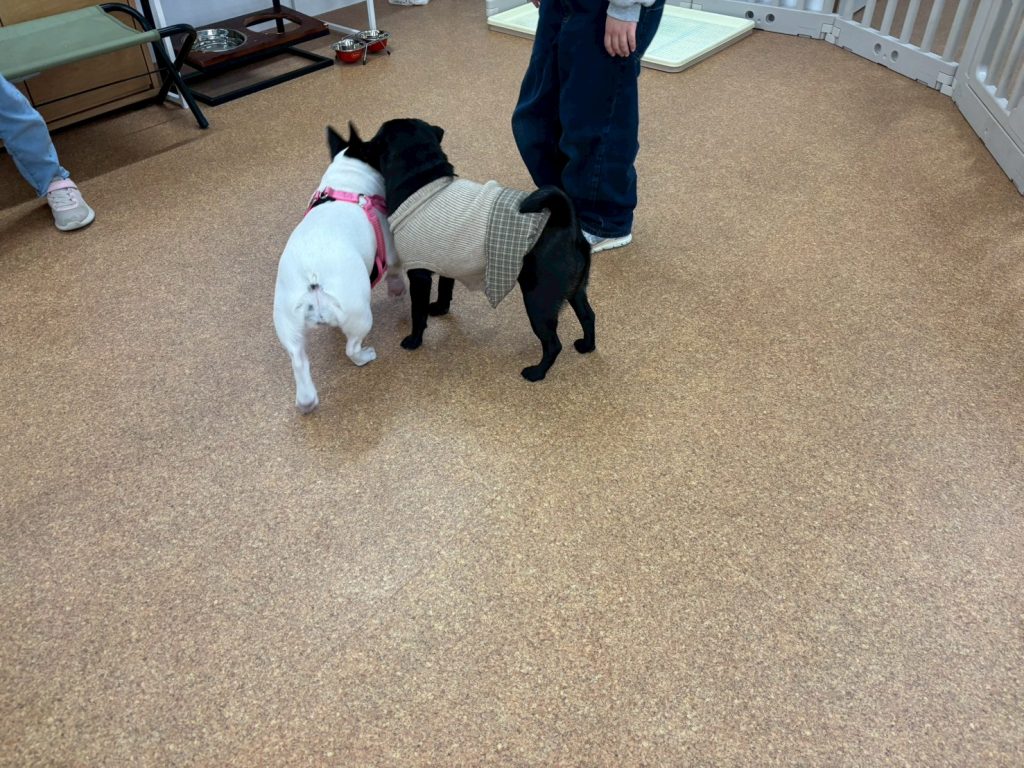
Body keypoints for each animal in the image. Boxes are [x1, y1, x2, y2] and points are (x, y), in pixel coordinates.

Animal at [273, 126, 404, 413]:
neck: (347, 182)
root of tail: (314, 278)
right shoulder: (390, 248)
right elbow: (396, 269)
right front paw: (398, 289)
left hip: (287, 321)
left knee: (298, 360)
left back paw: (307, 401)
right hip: (360, 314)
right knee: (352, 348)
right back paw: (365, 356)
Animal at [356, 118, 596, 382]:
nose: (362, 145)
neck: (423, 182)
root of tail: (566, 223)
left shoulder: (418, 275)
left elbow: (417, 312)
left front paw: (414, 340)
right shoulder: (446, 261)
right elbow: (445, 290)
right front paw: (440, 308)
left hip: (538, 300)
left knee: (553, 344)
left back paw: (537, 372)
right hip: (575, 291)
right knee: (588, 316)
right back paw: (587, 345)